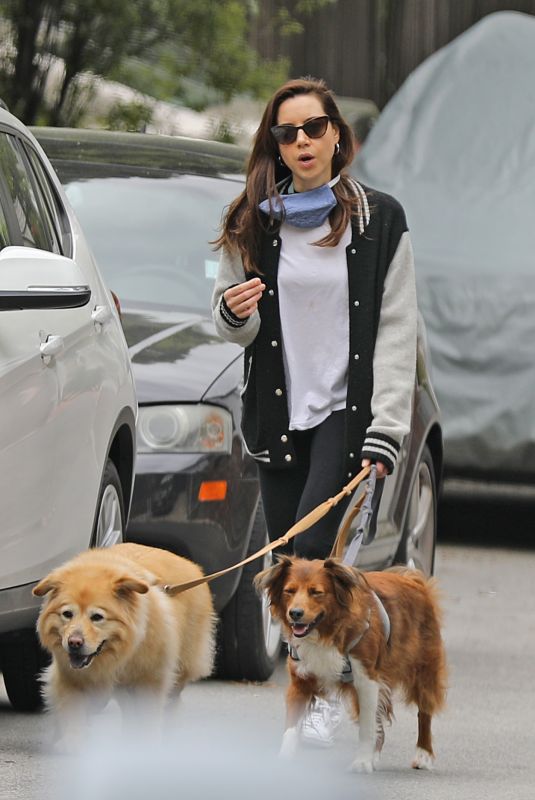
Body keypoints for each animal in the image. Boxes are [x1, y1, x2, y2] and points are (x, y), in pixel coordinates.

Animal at [255, 556, 448, 768]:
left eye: (316, 592)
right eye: (289, 591)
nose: (295, 613)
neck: (327, 633)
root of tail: (414, 581)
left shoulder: (367, 681)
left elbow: (367, 726)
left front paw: (362, 762)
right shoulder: (300, 683)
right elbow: (291, 726)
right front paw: (284, 758)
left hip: (424, 670)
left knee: (424, 713)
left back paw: (423, 754)